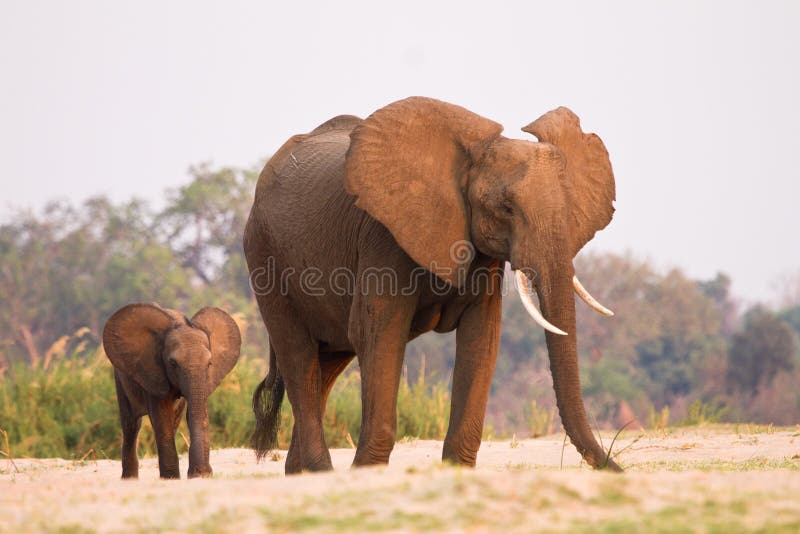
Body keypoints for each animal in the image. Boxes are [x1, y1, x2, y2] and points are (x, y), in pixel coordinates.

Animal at [102, 303, 241, 479]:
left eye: (210, 363)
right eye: (173, 363)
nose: (204, 473)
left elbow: (196, 413)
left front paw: (199, 476)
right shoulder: (153, 371)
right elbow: (162, 417)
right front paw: (171, 478)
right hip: (121, 376)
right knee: (131, 424)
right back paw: (129, 479)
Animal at [244, 96, 620, 473]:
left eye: (569, 208)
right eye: (506, 208)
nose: (616, 466)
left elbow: (482, 336)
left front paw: (456, 469)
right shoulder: (383, 236)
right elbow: (378, 333)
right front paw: (368, 470)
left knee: (327, 363)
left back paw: (301, 473)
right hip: (264, 255)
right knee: (298, 354)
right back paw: (321, 471)